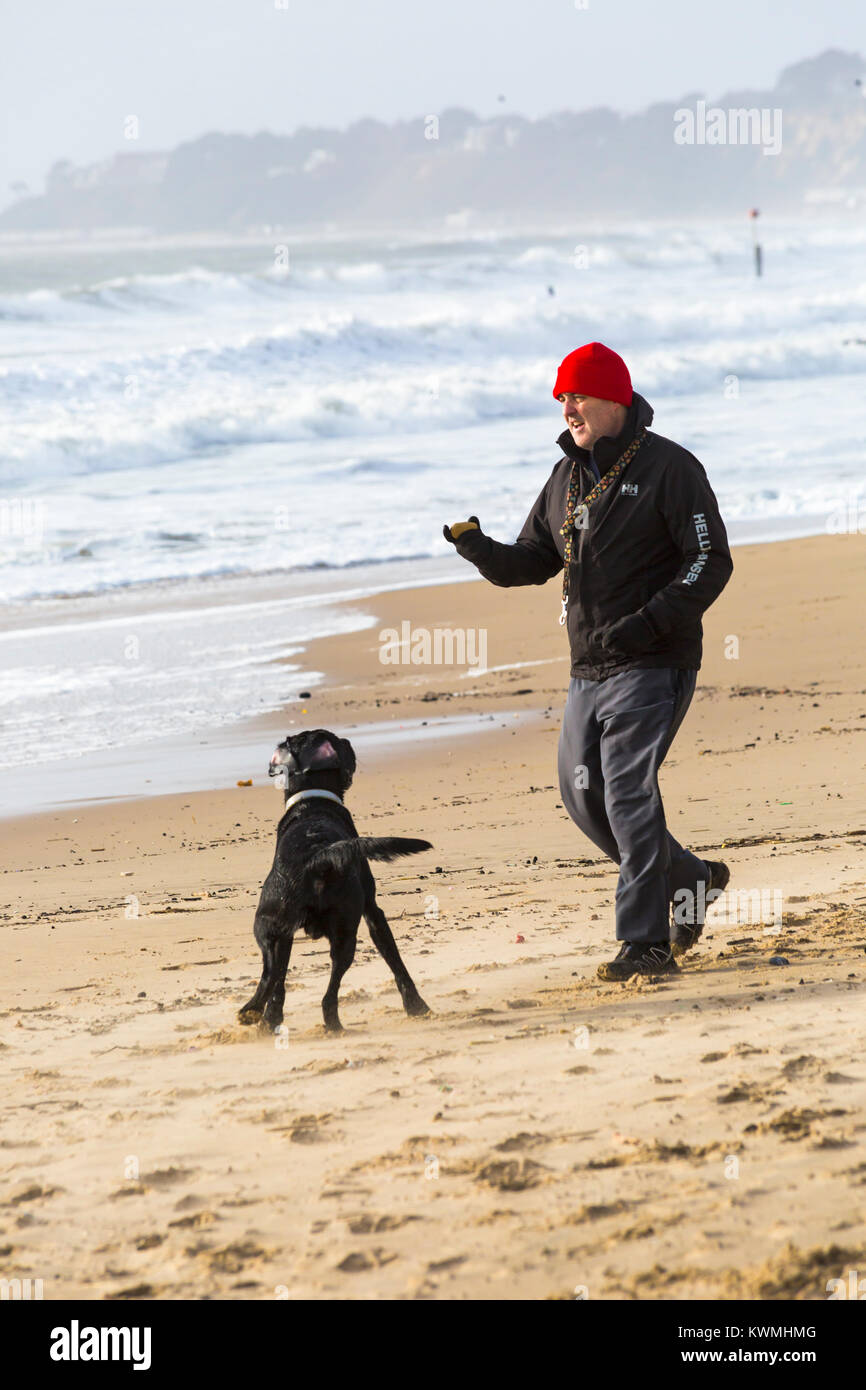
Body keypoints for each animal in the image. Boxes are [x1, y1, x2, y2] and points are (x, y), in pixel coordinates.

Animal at [239, 728, 430, 1034]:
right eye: (341, 744)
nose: (349, 742)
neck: (312, 802)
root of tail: (317, 856)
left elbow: (279, 979)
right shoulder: (373, 911)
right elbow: (395, 960)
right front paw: (415, 1005)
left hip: (271, 926)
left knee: (273, 976)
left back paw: (259, 1015)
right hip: (344, 927)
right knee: (330, 987)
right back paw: (332, 1023)